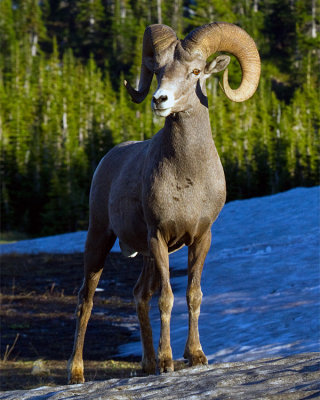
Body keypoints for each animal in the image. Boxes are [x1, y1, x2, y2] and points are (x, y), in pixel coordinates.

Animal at [67, 22, 260, 384]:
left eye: (196, 72)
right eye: (158, 72)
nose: (159, 100)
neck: (188, 177)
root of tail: (108, 159)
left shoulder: (200, 239)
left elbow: (193, 295)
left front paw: (196, 356)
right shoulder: (158, 237)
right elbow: (167, 299)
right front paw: (169, 361)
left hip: (145, 256)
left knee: (139, 294)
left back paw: (146, 365)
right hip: (99, 237)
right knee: (86, 299)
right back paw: (77, 373)